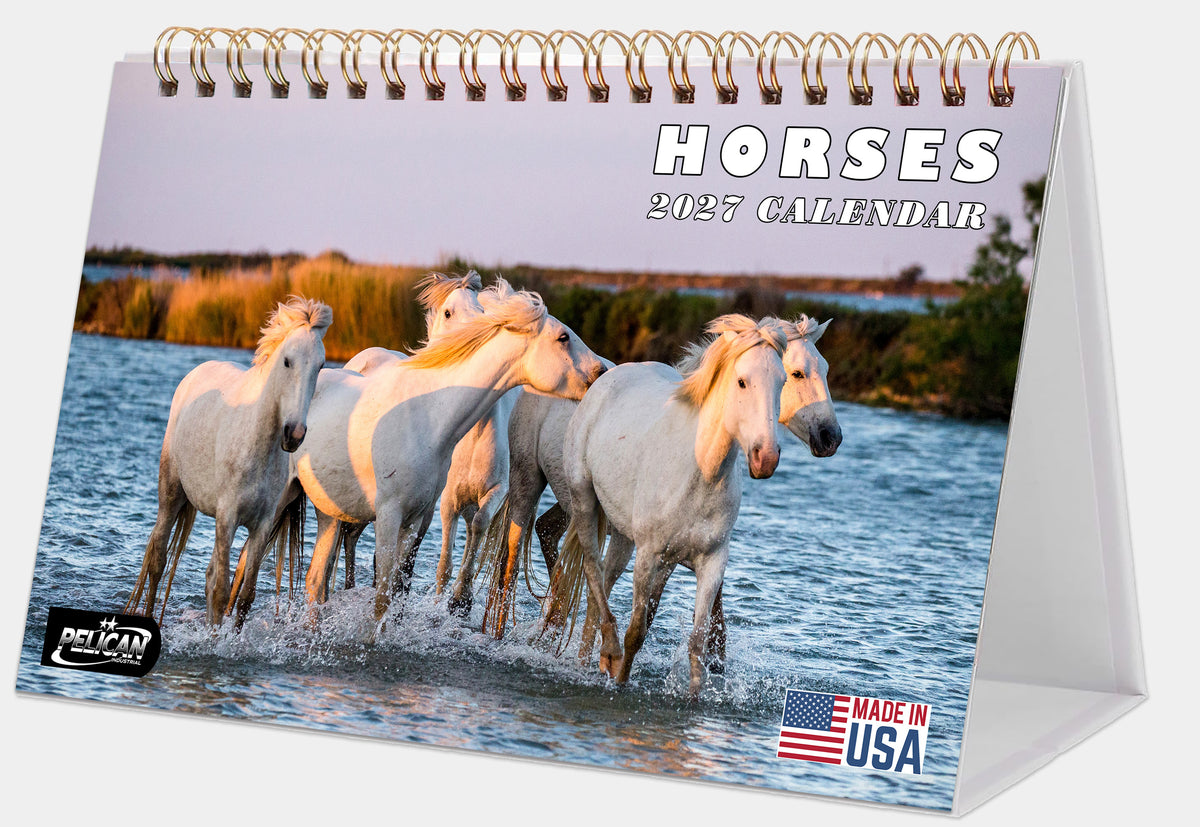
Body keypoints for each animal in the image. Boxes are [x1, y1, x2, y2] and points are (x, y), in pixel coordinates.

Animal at [126, 297, 332, 627]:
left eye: (320, 366)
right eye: (287, 361)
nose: (294, 434)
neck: (256, 444)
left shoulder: (262, 524)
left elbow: (244, 595)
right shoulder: (227, 517)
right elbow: (221, 590)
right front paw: (213, 638)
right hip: (171, 495)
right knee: (158, 560)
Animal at [294, 280, 606, 637]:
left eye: (483, 309)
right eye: (447, 311)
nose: (601, 371)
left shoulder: (492, 492)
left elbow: (476, 528)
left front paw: (460, 601)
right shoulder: (441, 503)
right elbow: (438, 561)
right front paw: (443, 602)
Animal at [552, 315, 787, 698]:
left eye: (783, 381)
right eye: (742, 381)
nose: (765, 457)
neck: (700, 472)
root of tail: (611, 375)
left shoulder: (711, 563)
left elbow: (697, 644)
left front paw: (694, 699)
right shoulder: (649, 555)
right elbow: (636, 632)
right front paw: (621, 680)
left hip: (625, 535)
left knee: (604, 578)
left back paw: (591, 657)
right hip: (585, 499)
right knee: (592, 569)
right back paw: (607, 653)